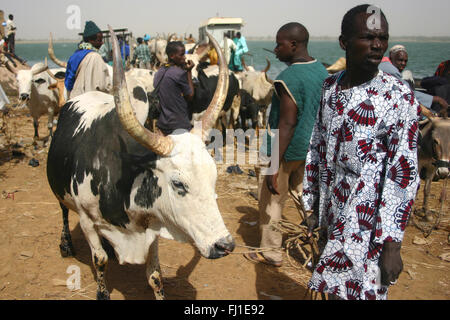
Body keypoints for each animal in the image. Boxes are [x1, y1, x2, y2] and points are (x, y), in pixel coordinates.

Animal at [47, 27, 234, 300]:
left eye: (214, 179)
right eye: (178, 184)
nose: (225, 245)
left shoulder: (153, 226)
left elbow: (155, 276)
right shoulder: (86, 220)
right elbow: (99, 260)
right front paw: (102, 290)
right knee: (62, 211)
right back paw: (66, 245)